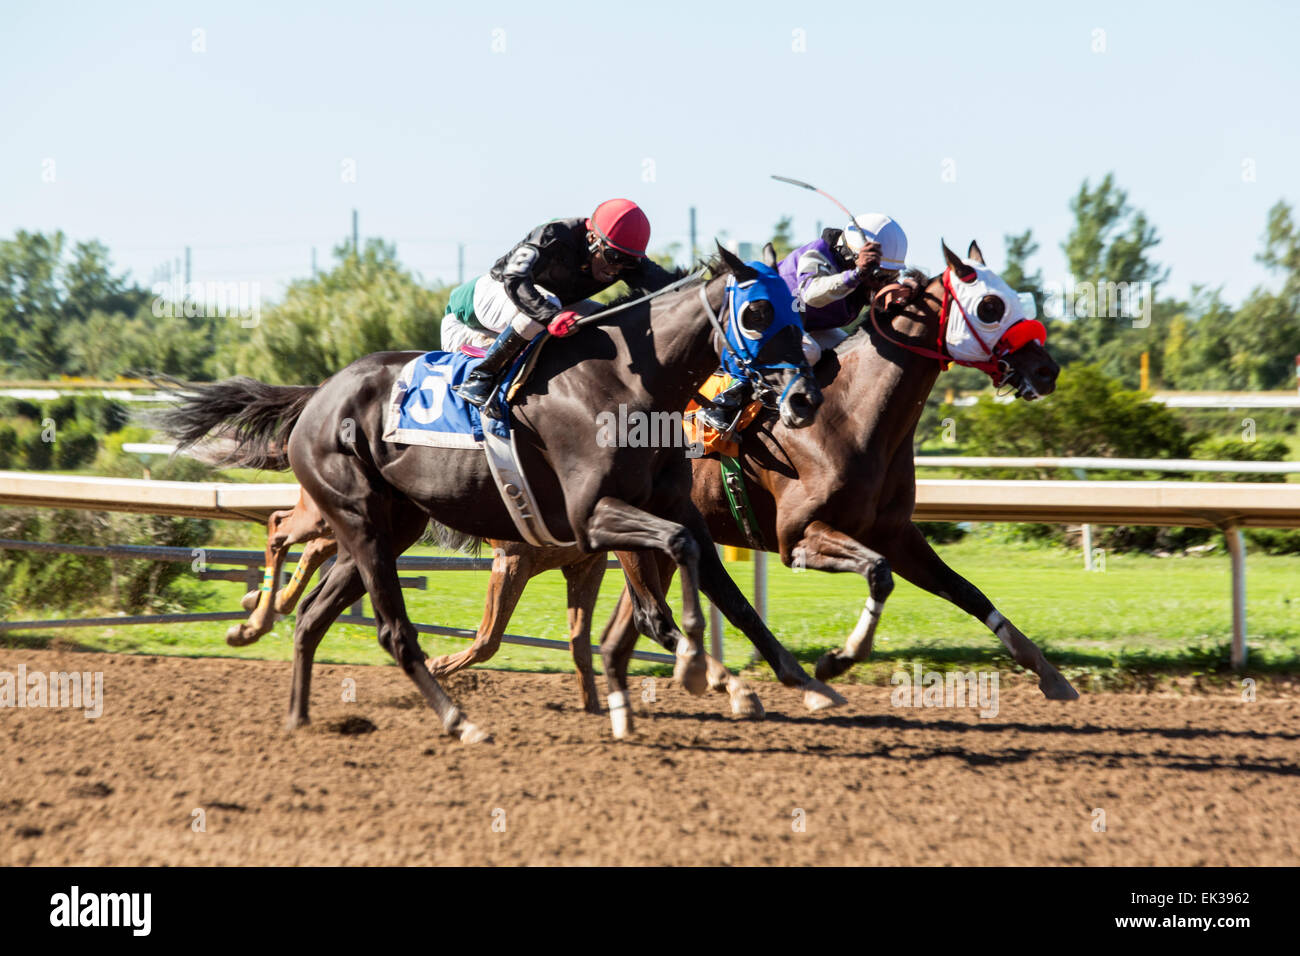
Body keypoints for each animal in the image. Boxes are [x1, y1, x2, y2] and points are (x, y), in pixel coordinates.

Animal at [159, 247, 832, 738]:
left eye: (797, 314)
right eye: (755, 314)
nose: (803, 398)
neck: (625, 383)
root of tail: (318, 395)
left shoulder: (669, 511)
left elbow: (730, 596)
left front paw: (804, 681)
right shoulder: (591, 519)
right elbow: (676, 565)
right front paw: (696, 665)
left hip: (387, 528)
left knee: (313, 617)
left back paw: (299, 716)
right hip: (358, 520)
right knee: (386, 627)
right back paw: (458, 720)